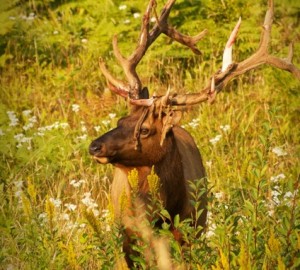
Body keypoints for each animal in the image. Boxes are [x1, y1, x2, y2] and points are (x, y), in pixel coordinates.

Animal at [88, 0, 298, 266]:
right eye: (120, 119)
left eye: (144, 129)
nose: (94, 146)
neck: (165, 211)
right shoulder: (129, 236)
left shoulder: (191, 231)